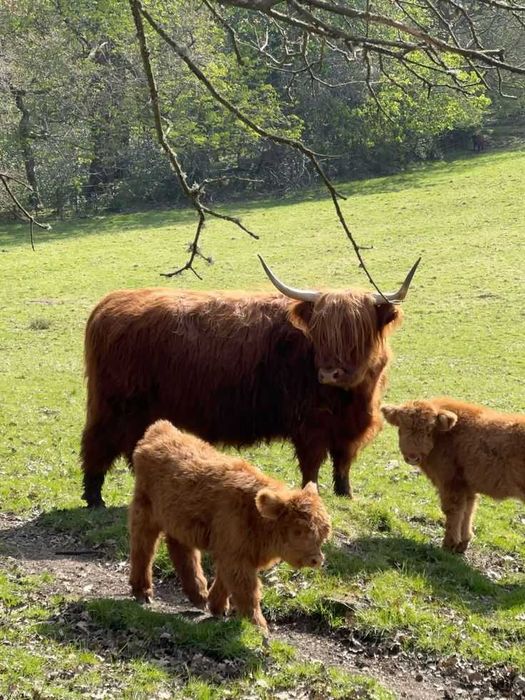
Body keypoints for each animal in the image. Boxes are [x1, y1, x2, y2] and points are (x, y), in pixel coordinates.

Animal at [81, 255, 420, 507]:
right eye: (321, 334)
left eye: (356, 333)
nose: (328, 373)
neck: (348, 396)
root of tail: (108, 304)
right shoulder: (310, 424)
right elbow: (312, 464)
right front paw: (313, 495)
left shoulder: (351, 424)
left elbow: (343, 460)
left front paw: (345, 493)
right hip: (116, 405)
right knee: (98, 442)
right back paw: (95, 497)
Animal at [129, 419, 332, 631]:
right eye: (299, 530)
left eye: (323, 534)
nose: (316, 560)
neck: (255, 514)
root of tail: (162, 428)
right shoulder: (236, 555)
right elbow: (247, 589)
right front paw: (258, 626)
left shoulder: (235, 552)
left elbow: (225, 580)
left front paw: (217, 607)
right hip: (145, 512)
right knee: (143, 548)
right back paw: (142, 591)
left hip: (178, 521)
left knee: (182, 551)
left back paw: (198, 595)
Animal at [381, 398, 525, 553]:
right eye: (402, 427)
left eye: (428, 430)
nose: (412, 457)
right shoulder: (467, 486)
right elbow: (468, 511)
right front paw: (463, 543)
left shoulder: (450, 482)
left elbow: (453, 511)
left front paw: (449, 544)